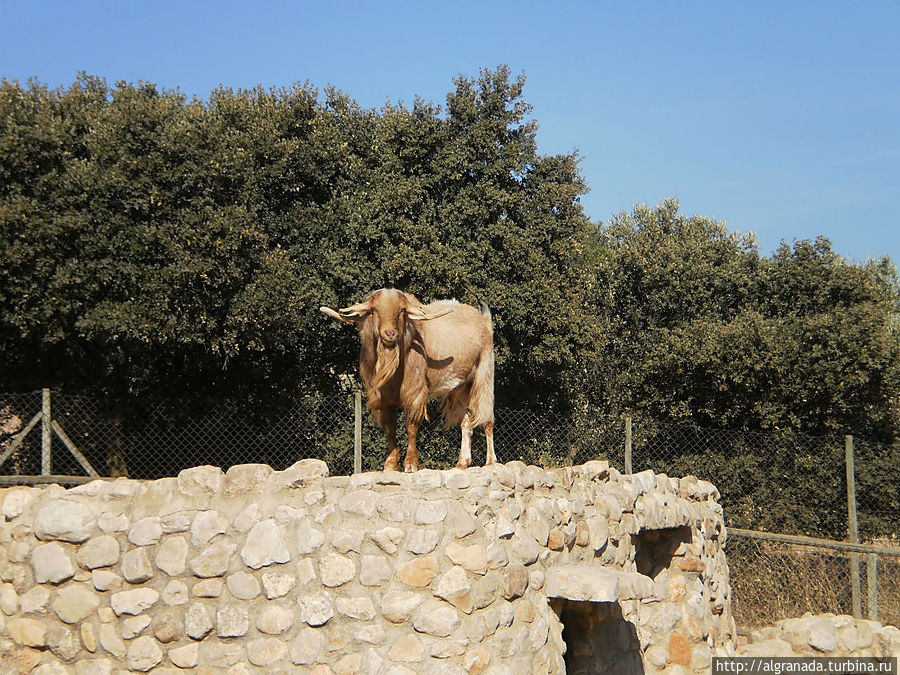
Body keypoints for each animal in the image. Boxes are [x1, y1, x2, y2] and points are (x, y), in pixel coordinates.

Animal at [320, 288, 496, 472]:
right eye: (374, 310)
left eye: (402, 311)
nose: (390, 333)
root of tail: (484, 321)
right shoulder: (383, 397)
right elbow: (390, 428)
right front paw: (390, 464)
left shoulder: (415, 392)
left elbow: (411, 425)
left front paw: (411, 464)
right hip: (460, 388)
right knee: (466, 422)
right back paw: (462, 463)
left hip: (484, 375)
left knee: (487, 419)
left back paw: (490, 461)